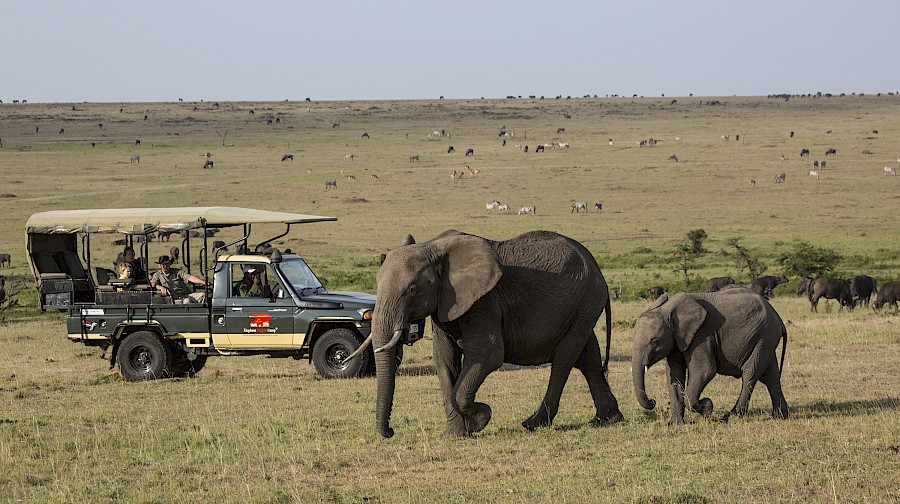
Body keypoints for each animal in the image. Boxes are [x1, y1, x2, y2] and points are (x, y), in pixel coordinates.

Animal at [358, 228, 620, 438]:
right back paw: (607, 419)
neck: (433, 247)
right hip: (581, 307)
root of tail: (597, 267)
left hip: (587, 300)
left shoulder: (484, 300)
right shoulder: (444, 305)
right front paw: (453, 435)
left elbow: (487, 355)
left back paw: (533, 424)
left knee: (565, 358)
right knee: (588, 357)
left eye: (413, 289)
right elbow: (444, 359)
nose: (390, 432)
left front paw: (480, 419)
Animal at [632, 290, 788, 424]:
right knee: (771, 376)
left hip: (765, 335)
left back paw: (730, 417)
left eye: (654, 341)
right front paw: (676, 424)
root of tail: (779, 319)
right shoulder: (677, 339)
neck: (667, 310)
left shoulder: (702, 335)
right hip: (765, 339)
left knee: (750, 373)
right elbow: (674, 374)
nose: (653, 401)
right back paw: (780, 416)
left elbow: (705, 370)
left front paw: (707, 408)